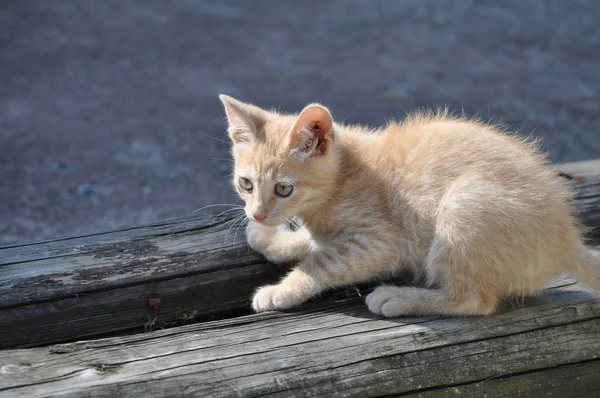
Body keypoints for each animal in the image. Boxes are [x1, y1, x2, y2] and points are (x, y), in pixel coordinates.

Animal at [218, 94, 600, 318]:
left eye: (283, 188)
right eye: (246, 184)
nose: (257, 213)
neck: (344, 174)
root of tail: (567, 238)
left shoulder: (380, 242)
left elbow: (321, 262)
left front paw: (281, 291)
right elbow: (309, 243)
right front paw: (269, 237)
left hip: (465, 204)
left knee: (477, 301)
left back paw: (398, 299)